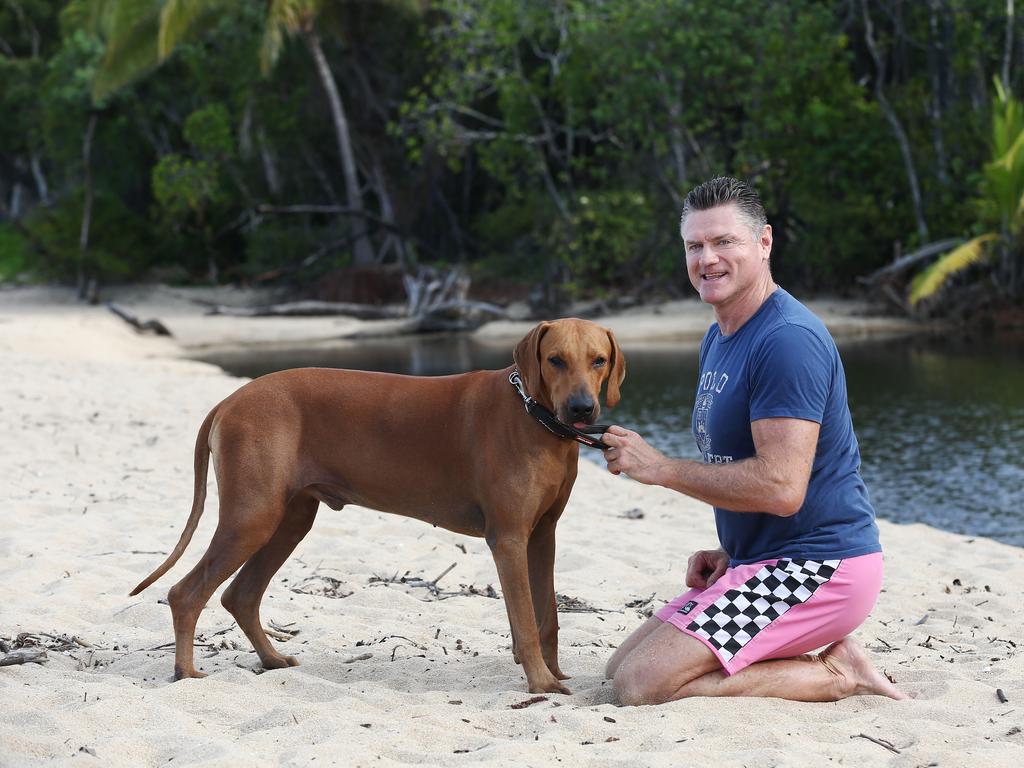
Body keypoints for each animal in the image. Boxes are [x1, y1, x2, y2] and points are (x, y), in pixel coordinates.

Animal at [128, 319, 622, 696]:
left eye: (598, 360)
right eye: (555, 359)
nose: (582, 409)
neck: (533, 415)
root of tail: (230, 399)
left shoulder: (542, 536)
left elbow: (547, 617)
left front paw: (553, 673)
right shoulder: (509, 539)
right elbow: (525, 619)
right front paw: (540, 682)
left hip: (288, 520)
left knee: (240, 595)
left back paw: (270, 659)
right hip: (252, 517)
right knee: (186, 593)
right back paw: (186, 672)